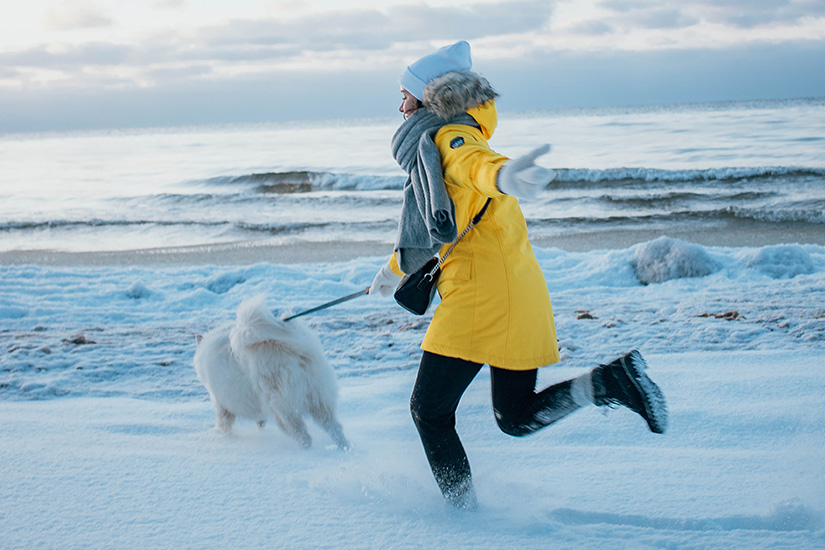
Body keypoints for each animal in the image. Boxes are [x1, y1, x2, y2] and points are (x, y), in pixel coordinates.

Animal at [194, 296, 348, 450]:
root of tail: (290, 350)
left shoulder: (221, 402)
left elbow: (224, 422)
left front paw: (222, 435)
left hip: (284, 410)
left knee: (303, 436)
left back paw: (305, 451)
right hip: (319, 399)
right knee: (335, 428)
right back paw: (344, 448)